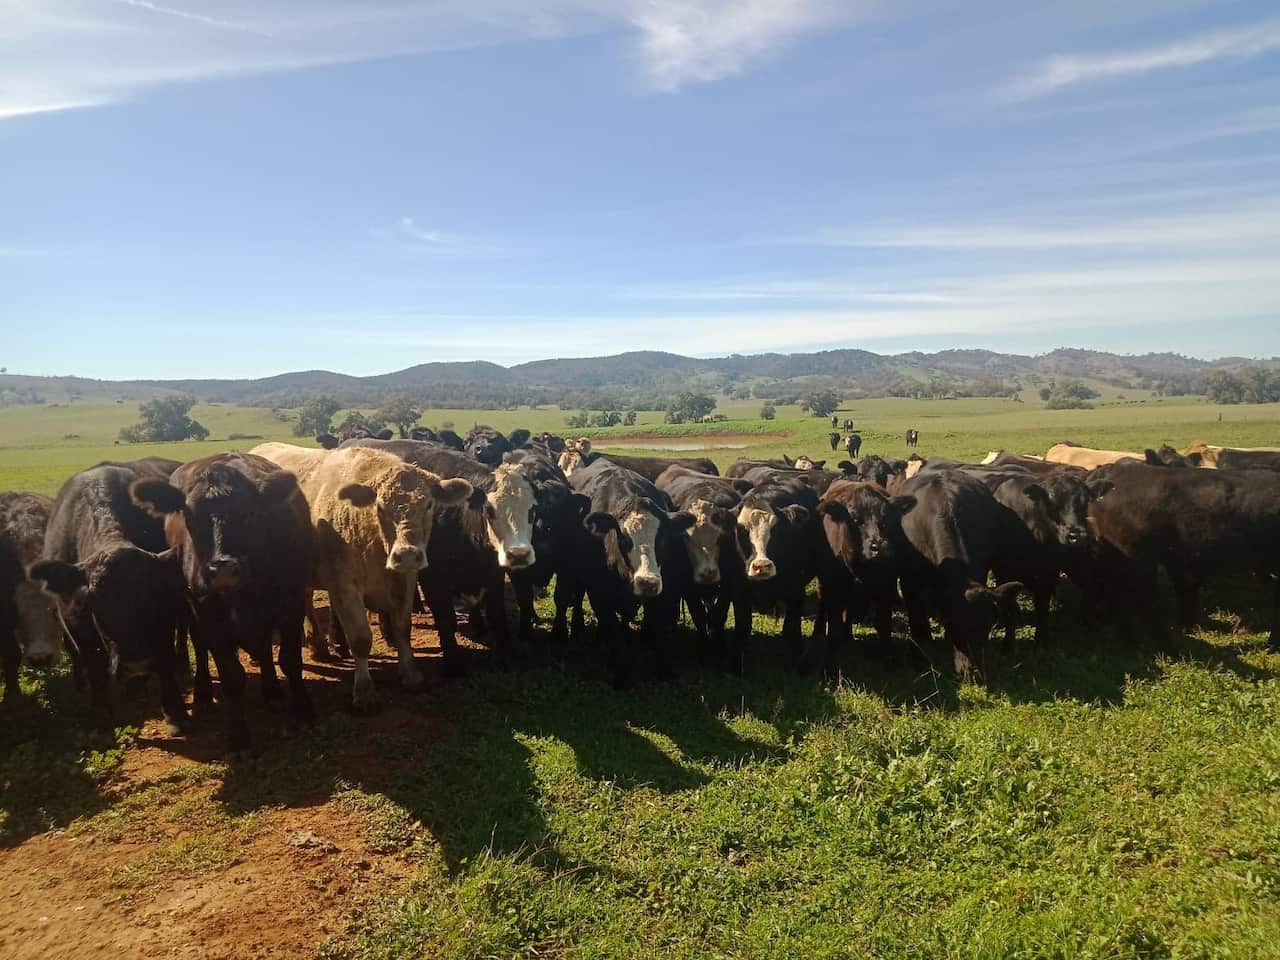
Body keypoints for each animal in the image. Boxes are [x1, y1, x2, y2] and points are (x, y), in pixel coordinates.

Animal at [30, 458, 188, 729]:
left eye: (153, 595)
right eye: (96, 603)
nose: (136, 664)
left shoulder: (164, 615)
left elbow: (164, 655)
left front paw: (175, 710)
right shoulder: (74, 619)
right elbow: (94, 663)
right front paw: (101, 711)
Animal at [129, 453, 314, 754]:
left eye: (250, 513)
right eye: (190, 516)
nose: (223, 570)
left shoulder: (291, 602)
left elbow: (289, 660)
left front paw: (303, 712)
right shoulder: (208, 613)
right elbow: (231, 677)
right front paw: (238, 737)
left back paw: (272, 691)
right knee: (200, 645)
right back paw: (203, 693)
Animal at [250, 443, 472, 710]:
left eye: (429, 504)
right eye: (380, 507)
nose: (407, 555)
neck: (374, 542)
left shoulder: (406, 580)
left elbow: (402, 628)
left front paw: (411, 674)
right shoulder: (344, 586)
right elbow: (360, 639)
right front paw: (364, 692)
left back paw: (318, 645)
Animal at [558, 459, 694, 684]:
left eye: (663, 537)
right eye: (623, 539)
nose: (647, 582)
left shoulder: (664, 593)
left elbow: (660, 628)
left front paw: (664, 671)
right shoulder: (599, 594)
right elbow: (613, 632)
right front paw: (621, 675)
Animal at [890, 471, 1025, 681]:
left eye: (987, 626)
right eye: (953, 626)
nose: (973, 673)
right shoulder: (909, 579)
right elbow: (916, 616)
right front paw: (919, 654)